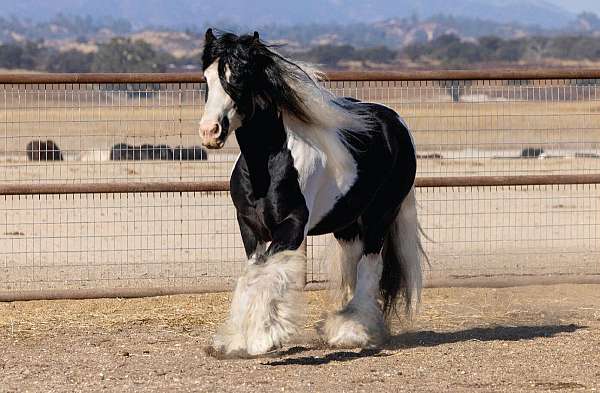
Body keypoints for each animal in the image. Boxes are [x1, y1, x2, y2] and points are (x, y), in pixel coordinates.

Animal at [198, 29, 422, 356]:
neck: (266, 167)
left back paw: (353, 331)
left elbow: (269, 275)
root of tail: (396, 123)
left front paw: (264, 336)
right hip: (346, 225)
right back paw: (342, 325)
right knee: (352, 267)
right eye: (207, 78)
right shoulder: (249, 227)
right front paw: (238, 338)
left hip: (380, 218)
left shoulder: (292, 227)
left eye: (238, 77)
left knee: (369, 266)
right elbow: (252, 276)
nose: (209, 132)